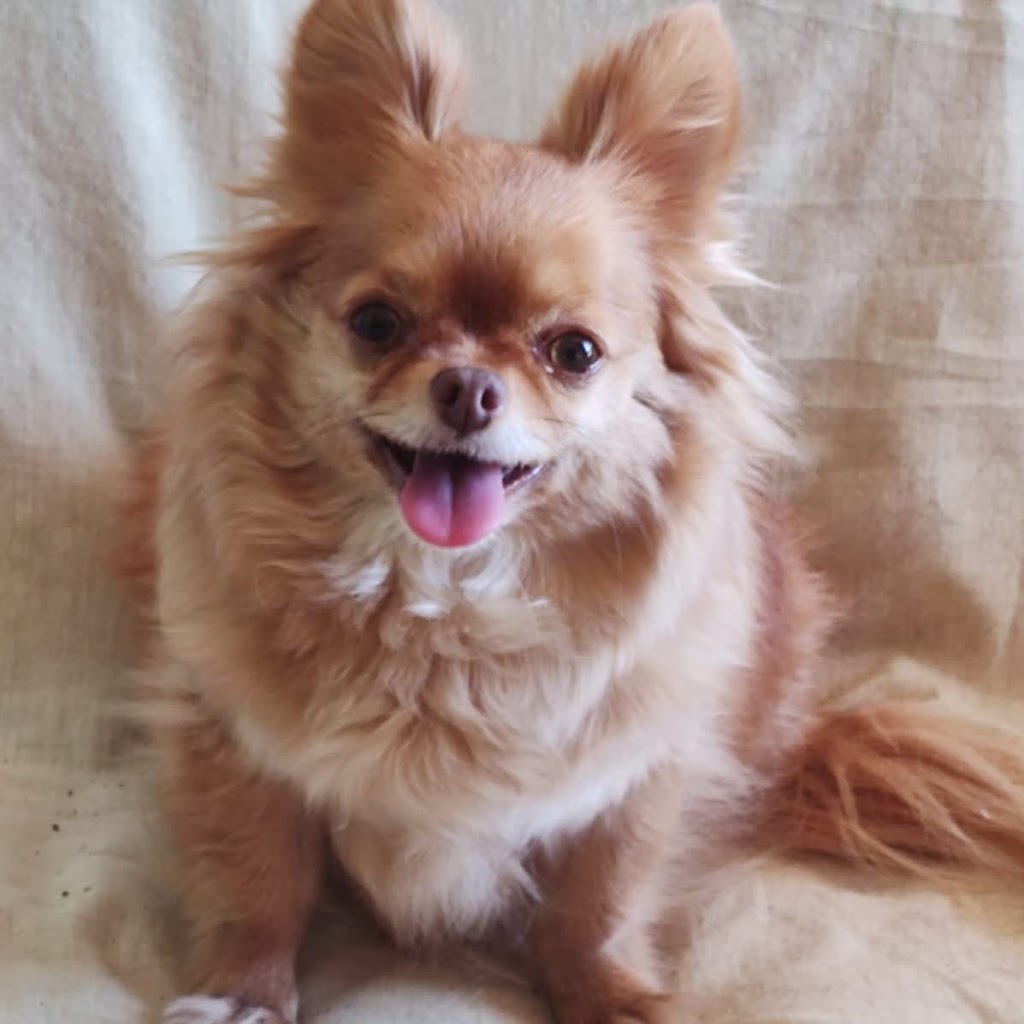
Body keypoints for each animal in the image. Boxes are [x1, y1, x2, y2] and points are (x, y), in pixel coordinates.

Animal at [117, 2, 1024, 1022]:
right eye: (377, 324)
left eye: (575, 352)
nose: (467, 387)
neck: (445, 606)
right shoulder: (228, 739)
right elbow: (255, 879)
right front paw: (244, 992)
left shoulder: (637, 774)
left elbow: (599, 904)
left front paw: (612, 996)